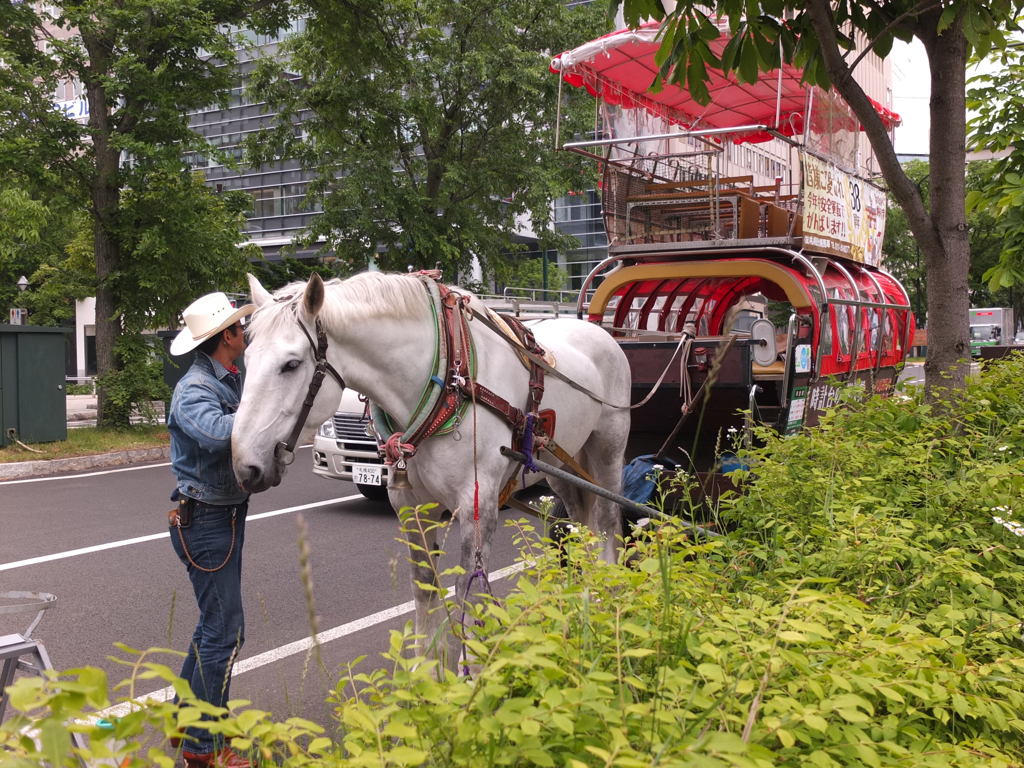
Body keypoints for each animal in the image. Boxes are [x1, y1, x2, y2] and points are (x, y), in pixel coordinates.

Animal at [231, 271, 632, 662]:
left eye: (291, 364)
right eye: (245, 362)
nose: (244, 465)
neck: (444, 377)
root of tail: (597, 330)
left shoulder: (477, 505)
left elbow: (470, 591)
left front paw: (470, 673)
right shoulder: (413, 507)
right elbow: (424, 586)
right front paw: (425, 672)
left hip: (608, 447)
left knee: (608, 518)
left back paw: (608, 595)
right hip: (557, 460)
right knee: (579, 521)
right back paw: (582, 596)